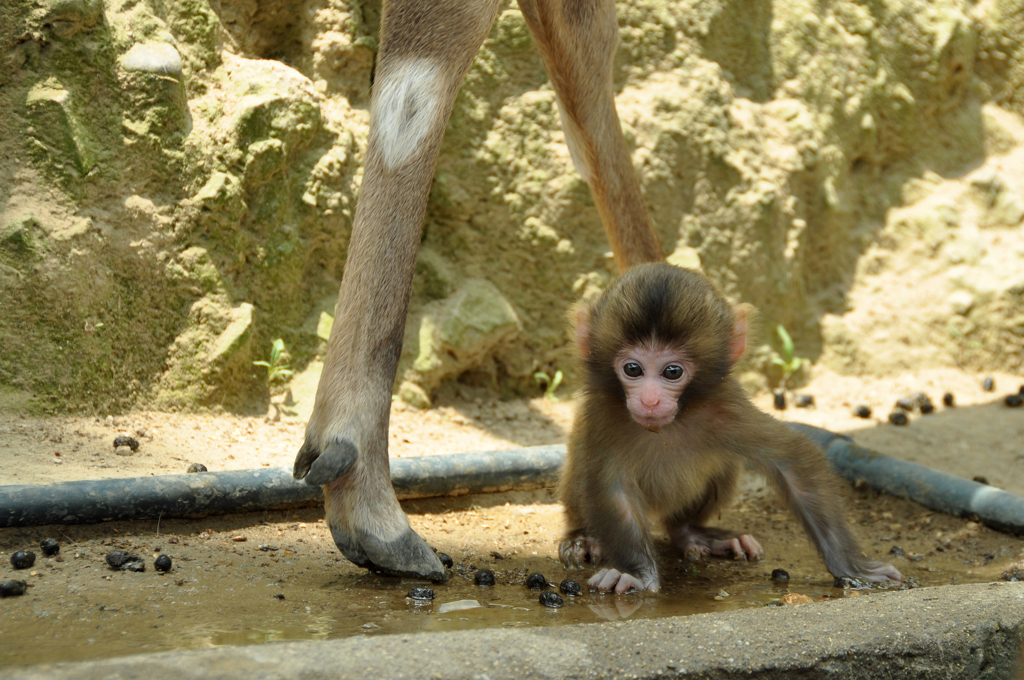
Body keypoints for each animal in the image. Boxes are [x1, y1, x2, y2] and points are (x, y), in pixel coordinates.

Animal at [561, 262, 905, 593]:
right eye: (633, 369)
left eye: (672, 372)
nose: (649, 400)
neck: (666, 427)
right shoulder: (603, 415)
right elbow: (612, 487)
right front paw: (637, 573)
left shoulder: (724, 407)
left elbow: (793, 459)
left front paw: (853, 567)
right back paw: (584, 538)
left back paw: (693, 534)